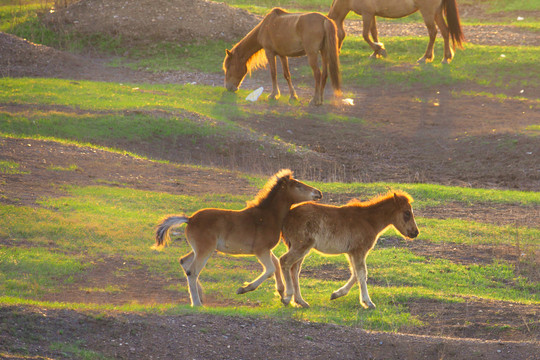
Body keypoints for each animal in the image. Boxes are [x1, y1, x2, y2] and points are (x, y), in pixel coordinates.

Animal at [153, 169, 320, 306]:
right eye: (298, 185)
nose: (318, 192)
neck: (268, 216)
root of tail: (190, 219)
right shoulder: (260, 250)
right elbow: (271, 269)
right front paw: (244, 289)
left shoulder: (266, 250)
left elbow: (276, 264)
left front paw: (281, 292)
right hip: (205, 249)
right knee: (192, 271)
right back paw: (197, 303)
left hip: (198, 249)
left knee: (184, 262)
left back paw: (200, 296)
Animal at [280, 191, 420, 310]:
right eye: (407, 213)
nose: (415, 232)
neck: (368, 221)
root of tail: (287, 217)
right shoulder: (359, 251)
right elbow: (362, 273)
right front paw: (368, 302)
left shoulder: (351, 252)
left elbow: (355, 274)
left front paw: (336, 294)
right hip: (301, 246)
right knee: (284, 261)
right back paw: (287, 298)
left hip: (301, 248)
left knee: (294, 269)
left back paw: (300, 301)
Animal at [326, 0, 466, 63]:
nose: (336, 52)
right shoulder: (372, 15)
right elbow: (374, 33)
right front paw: (376, 52)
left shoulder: (367, 14)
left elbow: (365, 35)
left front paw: (380, 50)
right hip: (436, 13)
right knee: (445, 31)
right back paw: (446, 57)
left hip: (428, 12)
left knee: (433, 33)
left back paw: (425, 57)